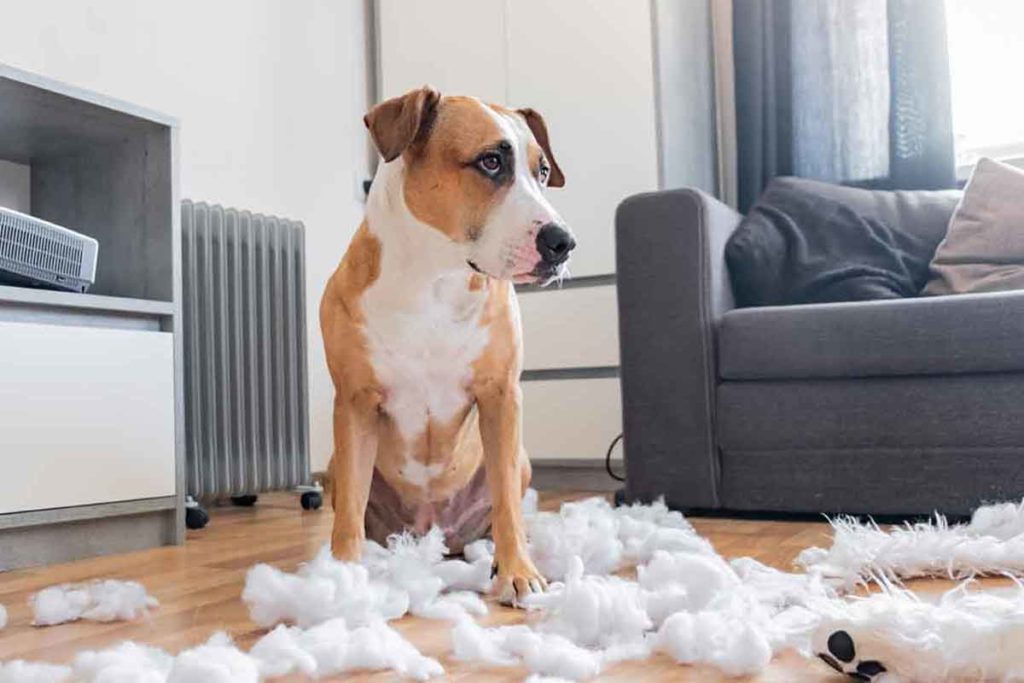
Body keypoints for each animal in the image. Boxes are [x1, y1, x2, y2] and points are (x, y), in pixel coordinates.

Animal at [319, 85, 577, 602]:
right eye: (491, 161)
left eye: (542, 171)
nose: (563, 243)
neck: (434, 277)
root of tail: (432, 533)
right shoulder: (355, 402)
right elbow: (350, 510)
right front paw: (345, 578)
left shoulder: (501, 396)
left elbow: (506, 501)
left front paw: (518, 572)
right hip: (335, 462)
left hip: (521, 460)